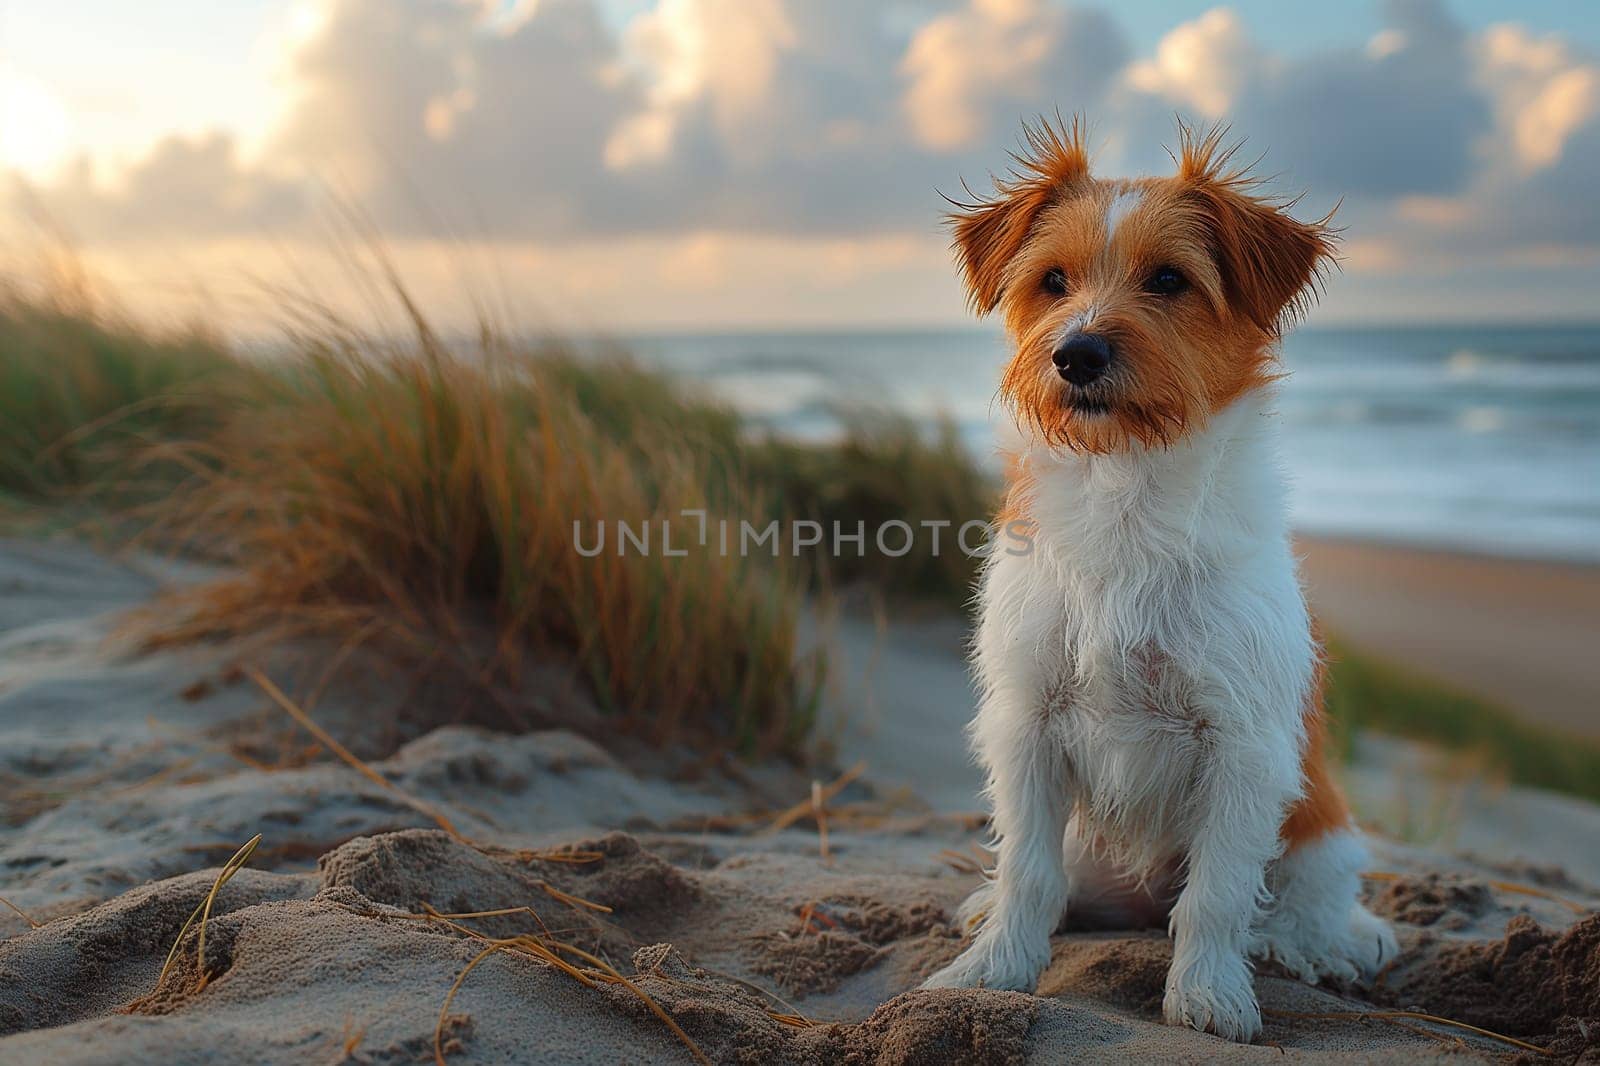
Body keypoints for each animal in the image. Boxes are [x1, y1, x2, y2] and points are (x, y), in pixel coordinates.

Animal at [928, 122, 1401, 1037]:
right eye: (1053, 281)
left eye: (1170, 280)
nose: (1076, 354)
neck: (1127, 495)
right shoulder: (1028, 725)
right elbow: (1028, 872)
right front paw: (993, 971)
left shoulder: (1243, 747)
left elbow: (1217, 896)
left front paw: (1209, 994)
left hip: (1318, 835)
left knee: (1305, 902)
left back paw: (1305, 947)